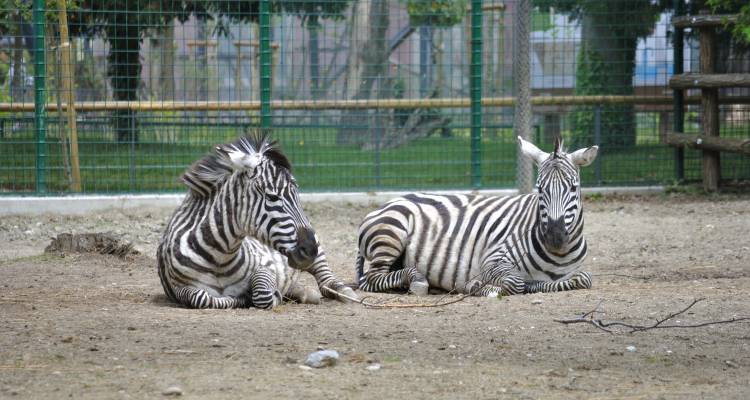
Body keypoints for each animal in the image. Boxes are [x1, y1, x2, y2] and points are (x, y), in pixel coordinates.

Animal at [156, 131, 358, 310]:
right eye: (272, 197)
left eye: (297, 194)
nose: (309, 249)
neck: (219, 259)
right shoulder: (178, 289)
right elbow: (201, 297)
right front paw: (241, 299)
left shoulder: (266, 266)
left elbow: (262, 294)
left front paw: (261, 296)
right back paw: (302, 292)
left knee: (325, 278)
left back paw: (344, 292)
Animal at [356, 138, 600, 296]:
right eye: (540, 189)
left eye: (573, 188)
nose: (555, 238)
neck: (558, 255)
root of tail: (387, 203)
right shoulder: (492, 260)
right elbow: (515, 282)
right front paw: (480, 288)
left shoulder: (569, 274)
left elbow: (583, 278)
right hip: (391, 234)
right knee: (372, 278)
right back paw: (416, 280)